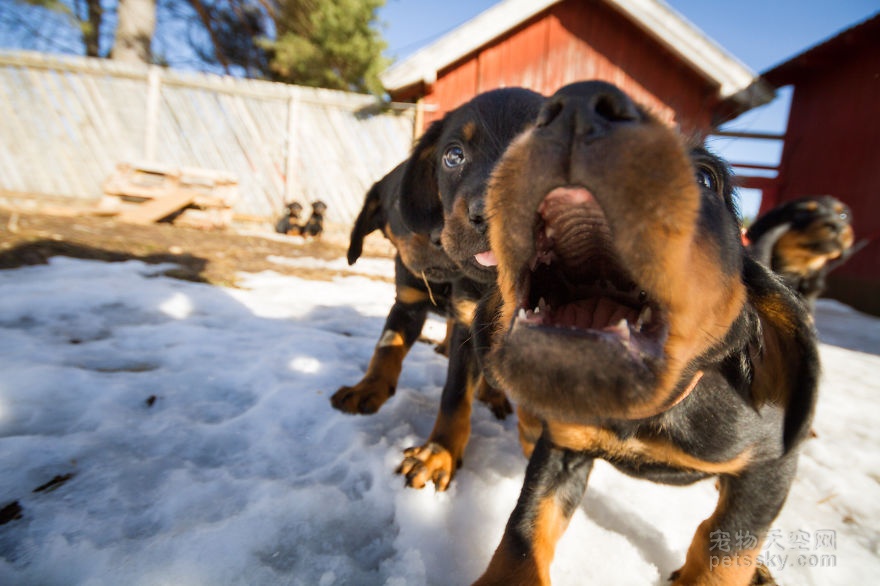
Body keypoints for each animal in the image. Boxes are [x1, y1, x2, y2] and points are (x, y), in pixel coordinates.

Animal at [474, 82, 820, 584]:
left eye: (707, 178)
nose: (578, 104)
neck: (640, 415)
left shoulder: (770, 465)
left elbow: (725, 552)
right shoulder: (562, 448)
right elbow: (523, 533)